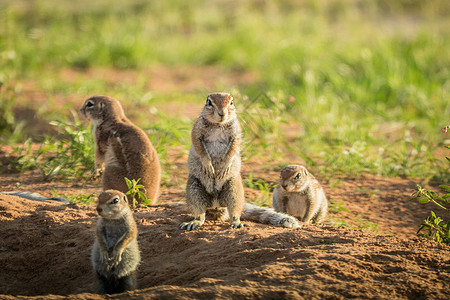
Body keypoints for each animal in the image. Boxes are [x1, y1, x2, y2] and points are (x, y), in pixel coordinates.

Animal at [180, 92, 246, 231]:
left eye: (231, 102)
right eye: (209, 102)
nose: (222, 113)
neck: (218, 124)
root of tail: (216, 203)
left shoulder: (236, 132)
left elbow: (233, 148)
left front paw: (223, 166)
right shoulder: (197, 130)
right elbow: (200, 147)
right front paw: (209, 166)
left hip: (234, 188)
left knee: (235, 209)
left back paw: (236, 223)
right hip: (194, 189)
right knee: (200, 212)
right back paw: (194, 222)